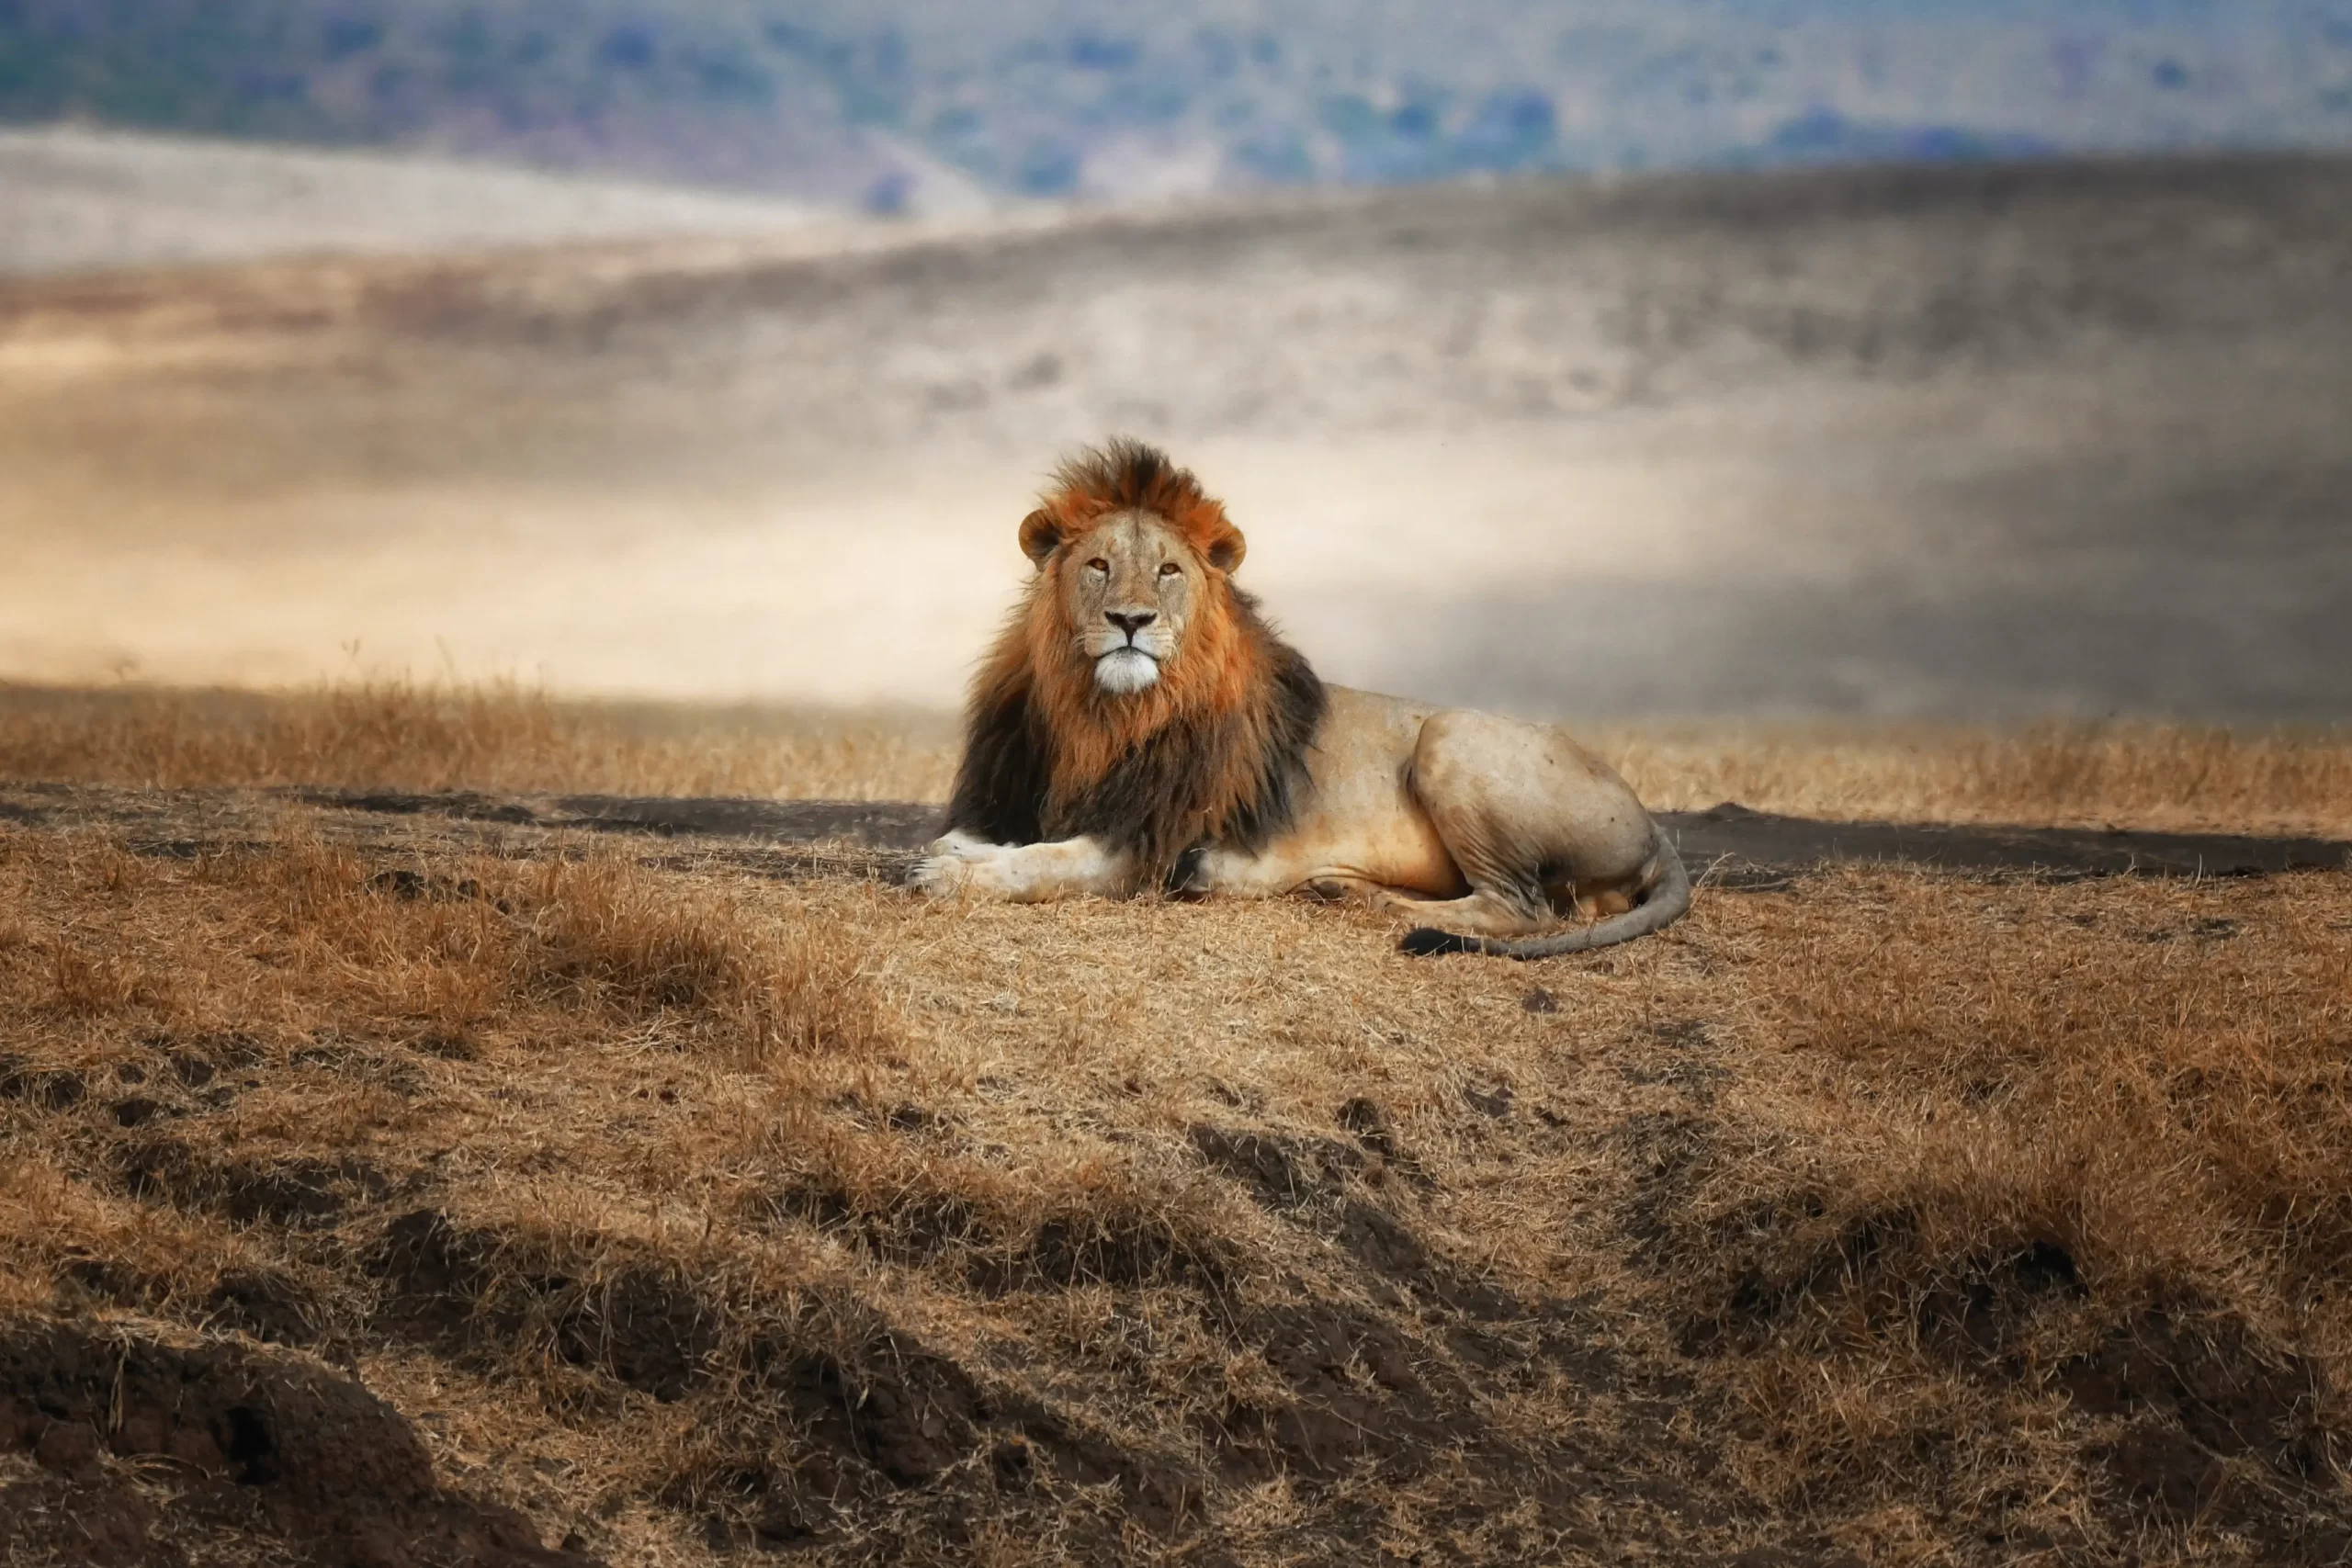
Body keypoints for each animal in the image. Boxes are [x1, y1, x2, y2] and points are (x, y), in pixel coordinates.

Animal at [912, 439, 1690, 958]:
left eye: (1167, 569)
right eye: (1098, 564)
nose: (1131, 619)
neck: (1104, 716)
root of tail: (1652, 825)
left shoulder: (1148, 847)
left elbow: (1040, 862)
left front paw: (948, 872)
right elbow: (1006, 837)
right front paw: (955, 848)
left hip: (1450, 736)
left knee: (1524, 909)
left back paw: (1369, 899)